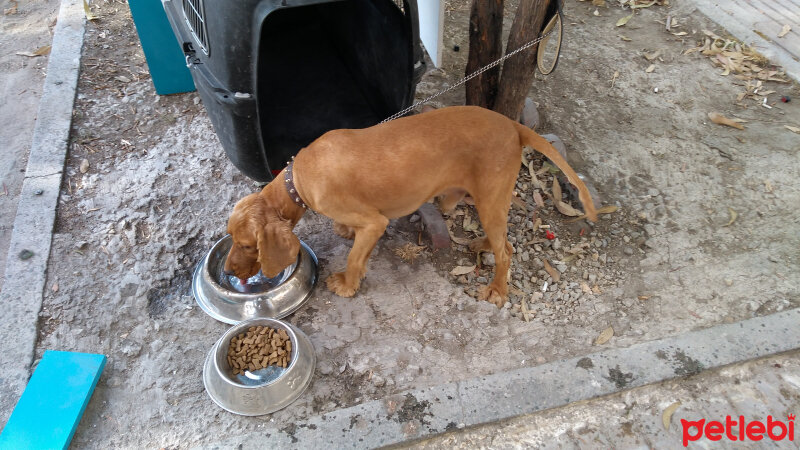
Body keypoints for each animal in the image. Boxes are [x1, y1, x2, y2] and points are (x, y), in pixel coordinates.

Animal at [222, 106, 596, 306]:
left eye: (247, 245)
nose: (228, 271)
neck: (297, 179)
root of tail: (512, 124)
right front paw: (345, 234)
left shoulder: (375, 223)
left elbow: (354, 257)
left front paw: (347, 284)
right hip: (483, 200)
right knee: (504, 240)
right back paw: (482, 244)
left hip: (490, 198)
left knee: (507, 251)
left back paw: (496, 290)